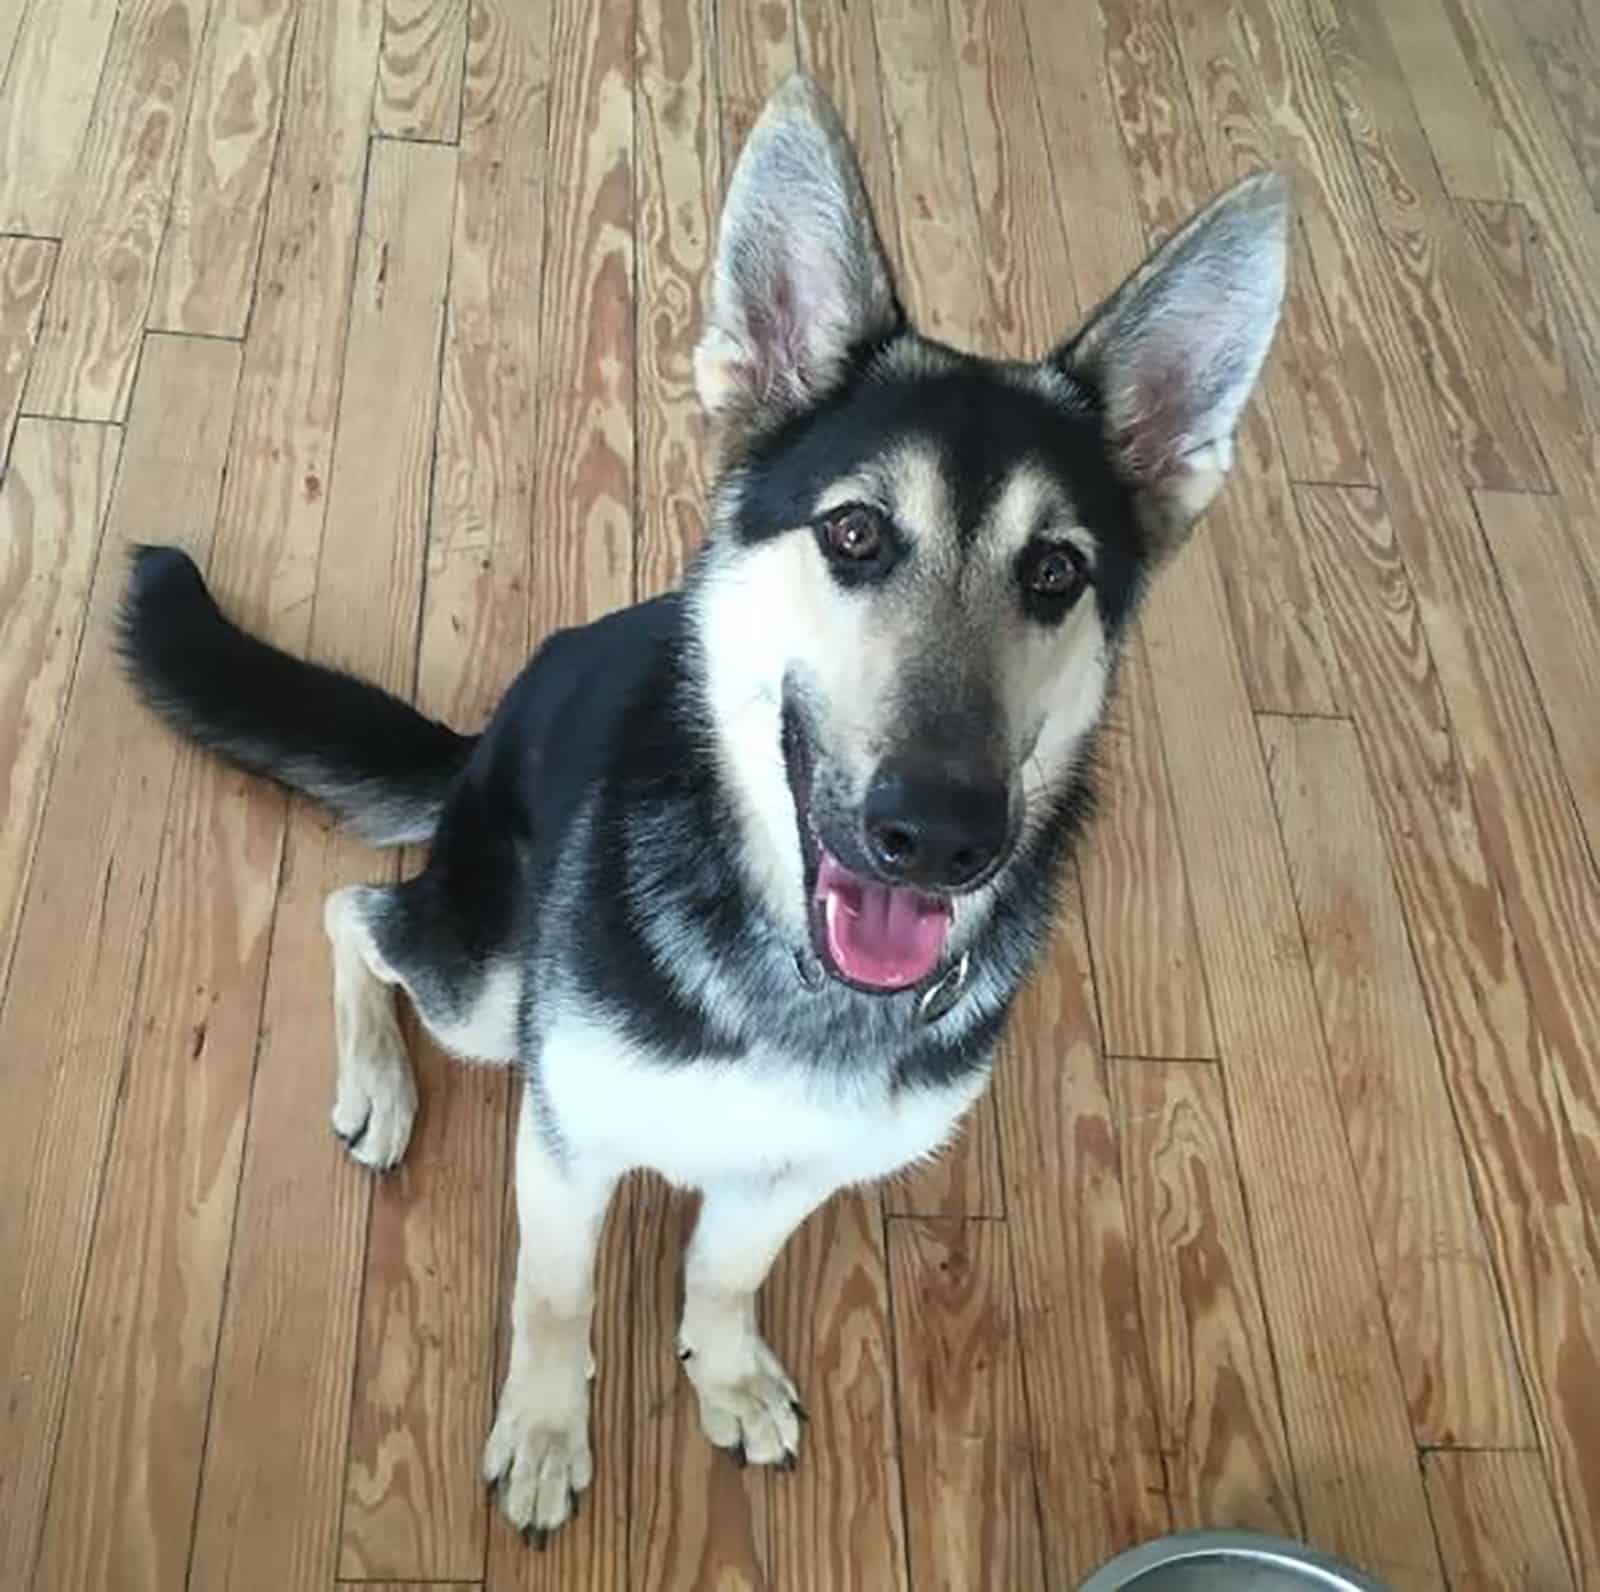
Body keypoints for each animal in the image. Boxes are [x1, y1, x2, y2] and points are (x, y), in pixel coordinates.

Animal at [116, 74, 1286, 1542]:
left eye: (1057, 573)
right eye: (853, 534)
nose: (937, 834)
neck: (795, 977)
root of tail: (495, 725)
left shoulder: (792, 1174)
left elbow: (728, 1265)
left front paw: (721, 1370)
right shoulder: (566, 1143)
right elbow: (553, 1297)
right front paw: (546, 1429)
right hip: (489, 990)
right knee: (355, 913)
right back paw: (377, 1080)